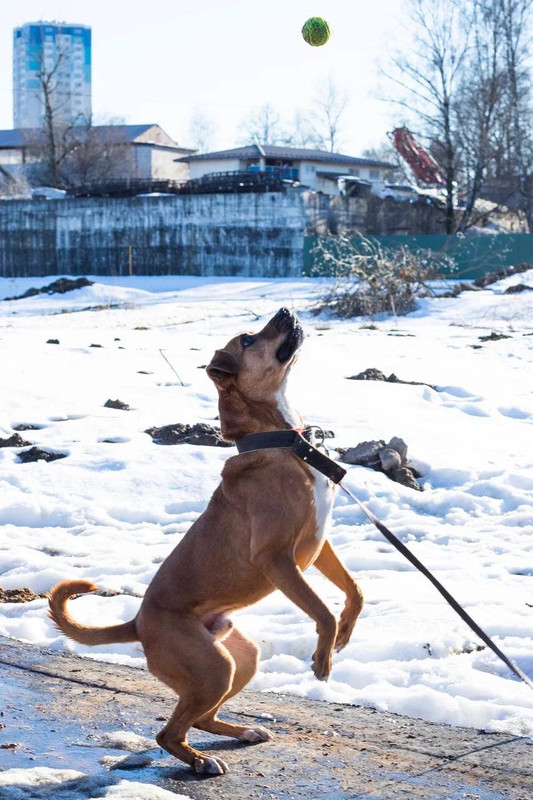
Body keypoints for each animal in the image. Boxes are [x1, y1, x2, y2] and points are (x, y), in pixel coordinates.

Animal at [48, 308, 364, 775]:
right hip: (214, 668)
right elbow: (321, 610)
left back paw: (241, 732)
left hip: (239, 660)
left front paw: (343, 635)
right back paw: (200, 762)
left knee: (202, 719)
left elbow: (355, 590)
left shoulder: (319, 545)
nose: (286, 311)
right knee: (169, 733)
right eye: (248, 340)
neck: (280, 442)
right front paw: (323, 658)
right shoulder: (276, 558)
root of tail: (137, 623)